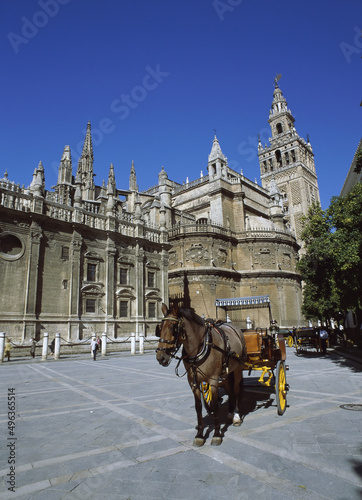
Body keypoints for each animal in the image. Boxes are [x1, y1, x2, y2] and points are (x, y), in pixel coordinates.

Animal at [155, 302, 246, 448]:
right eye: (159, 328)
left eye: (173, 328)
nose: (160, 357)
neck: (199, 347)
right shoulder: (193, 381)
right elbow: (198, 407)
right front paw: (199, 435)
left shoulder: (213, 380)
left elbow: (214, 405)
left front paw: (216, 434)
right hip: (226, 373)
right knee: (230, 391)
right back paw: (230, 413)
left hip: (238, 368)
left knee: (236, 390)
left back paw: (236, 416)